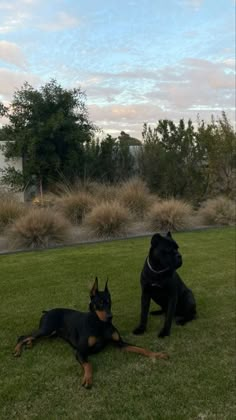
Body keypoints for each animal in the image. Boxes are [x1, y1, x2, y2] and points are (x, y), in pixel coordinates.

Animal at [13, 278, 168, 388]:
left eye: (109, 302)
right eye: (99, 302)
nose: (110, 317)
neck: (100, 324)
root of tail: (47, 311)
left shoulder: (120, 343)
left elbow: (141, 348)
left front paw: (157, 354)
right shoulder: (80, 351)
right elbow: (88, 364)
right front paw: (88, 378)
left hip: (51, 333)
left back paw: (29, 344)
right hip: (46, 329)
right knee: (23, 336)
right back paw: (18, 350)